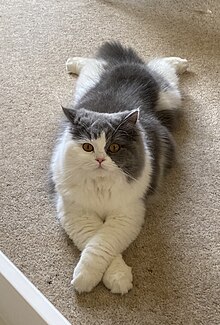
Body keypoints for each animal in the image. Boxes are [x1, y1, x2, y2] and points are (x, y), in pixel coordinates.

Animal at [50, 40, 188, 294]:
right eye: (87, 147)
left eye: (113, 147)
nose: (100, 159)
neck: (101, 188)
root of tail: (127, 66)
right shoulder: (76, 211)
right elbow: (93, 239)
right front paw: (94, 278)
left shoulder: (128, 212)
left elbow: (102, 243)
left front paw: (113, 279)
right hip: (89, 82)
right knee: (93, 61)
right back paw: (72, 62)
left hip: (171, 97)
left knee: (163, 65)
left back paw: (181, 62)